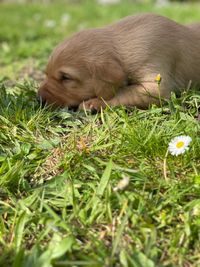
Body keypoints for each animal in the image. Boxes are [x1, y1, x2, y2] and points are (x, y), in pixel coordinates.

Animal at [38, 13, 200, 111]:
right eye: (46, 74)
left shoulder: (156, 85)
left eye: (66, 78)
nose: (38, 98)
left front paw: (94, 103)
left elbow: (125, 92)